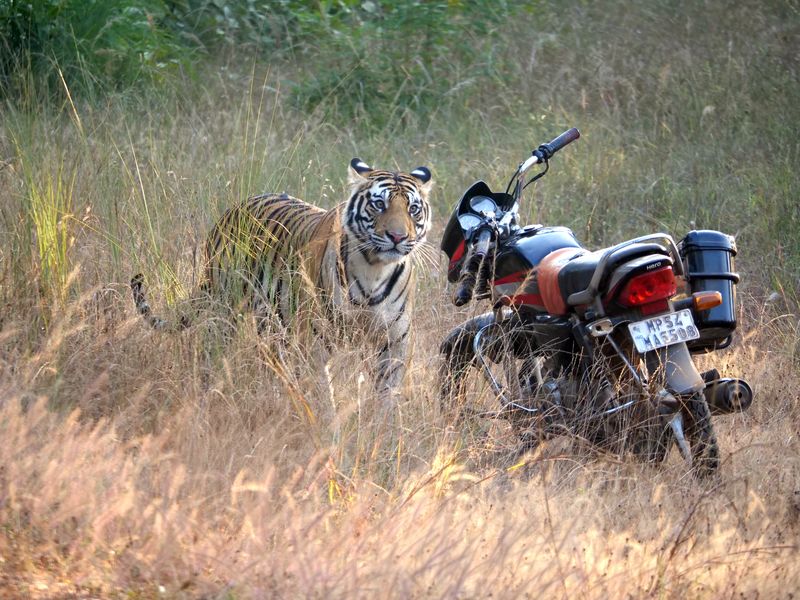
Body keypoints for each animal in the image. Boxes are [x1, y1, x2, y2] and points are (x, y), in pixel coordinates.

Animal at [131, 157, 432, 396]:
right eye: (379, 205)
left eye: (413, 209)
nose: (397, 237)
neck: (374, 270)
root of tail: (231, 211)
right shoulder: (315, 343)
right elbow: (324, 397)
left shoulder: (394, 343)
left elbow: (387, 398)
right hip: (224, 311)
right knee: (212, 352)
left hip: (273, 325)